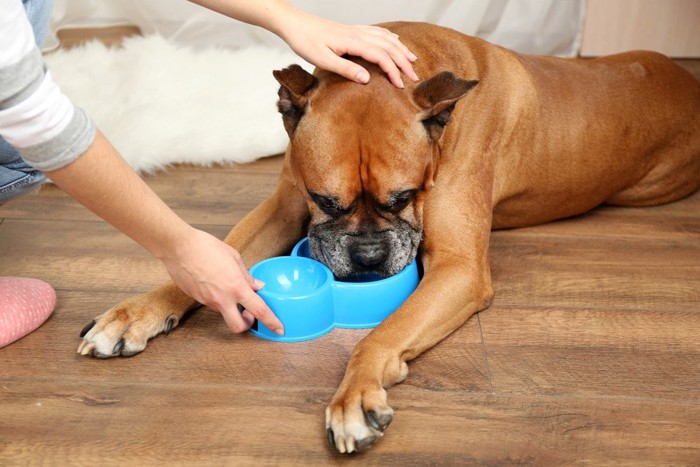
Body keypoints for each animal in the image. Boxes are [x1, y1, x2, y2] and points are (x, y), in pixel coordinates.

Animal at [78, 21, 700, 454]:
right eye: (327, 201)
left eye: (403, 197)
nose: (369, 255)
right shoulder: (284, 207)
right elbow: (214, 257)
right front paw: (137, 313)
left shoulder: (458, 269)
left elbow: (380, 334)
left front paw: (355, 396)